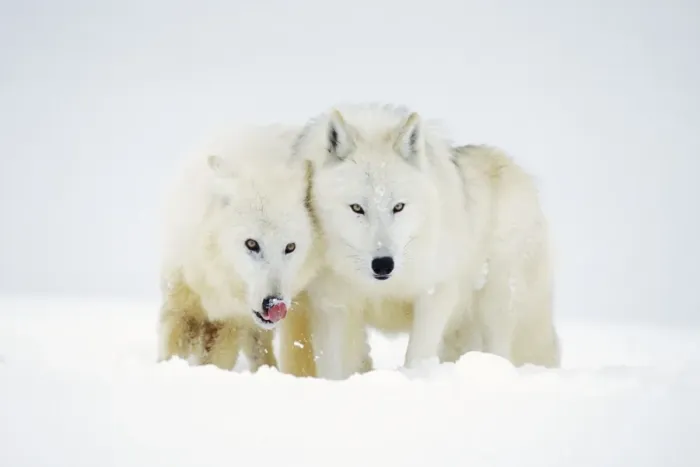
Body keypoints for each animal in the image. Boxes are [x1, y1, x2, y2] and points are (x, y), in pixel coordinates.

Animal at [157, 123, 323, 372]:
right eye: (251, 244)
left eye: (290, 247)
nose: (274, 304)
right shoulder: (181, 300)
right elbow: (171, 350)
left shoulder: (231, 324)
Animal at [292, 103, 559, 379]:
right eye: (357, 208)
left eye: (398, 207)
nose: (383, 264)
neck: (382, 287)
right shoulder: (334, 308)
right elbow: (334, 368)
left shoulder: (434, 293)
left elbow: (417, 356)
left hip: (497, 305)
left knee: (500, 349)